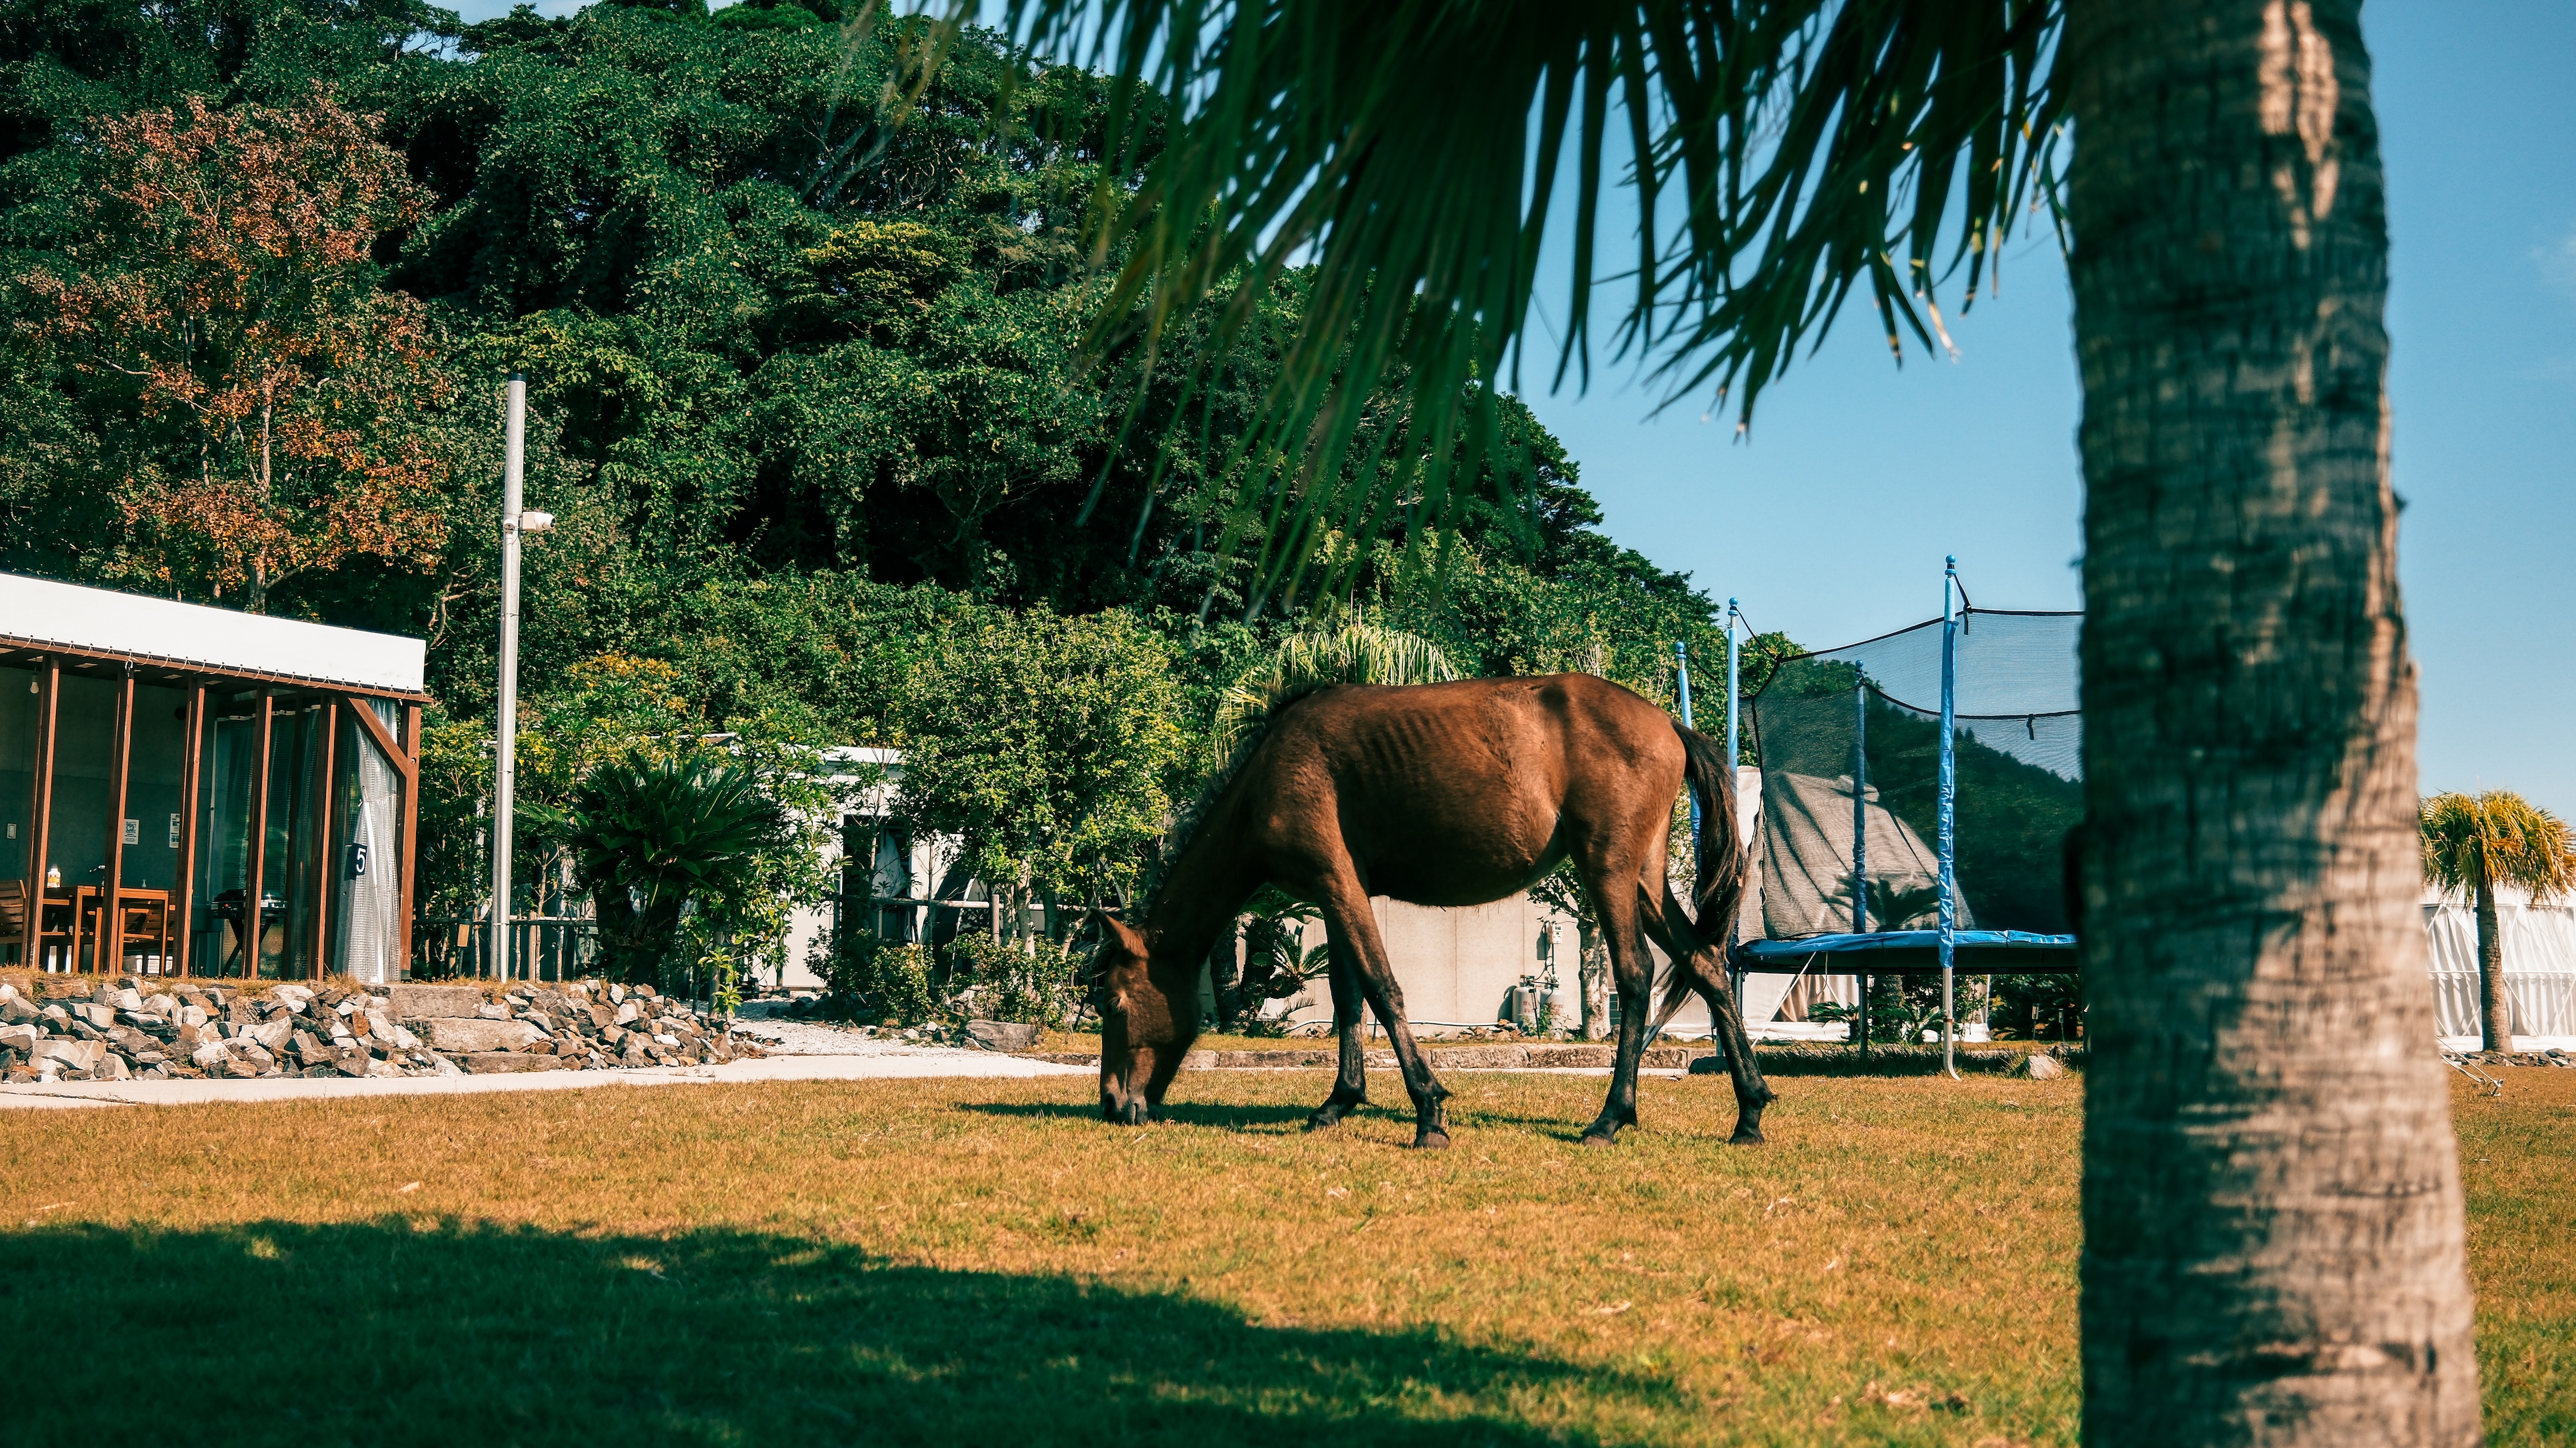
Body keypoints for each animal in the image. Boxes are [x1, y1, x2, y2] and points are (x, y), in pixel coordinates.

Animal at [1089, 672, 1777, 1149]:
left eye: (1114, 1003)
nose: (1113, 1105)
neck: (1266, 780)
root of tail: (1668, 725)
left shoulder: (1336, 884)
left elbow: (1382, 988)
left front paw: (1428, 1112)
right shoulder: (1340, 891)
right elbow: (1348, 998)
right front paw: (1339, 1102)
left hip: (1607, 870)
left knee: (1635, 976)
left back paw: (1611, 1117)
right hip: (1644, 879)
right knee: (1705, 964)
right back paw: (1748, 1110)